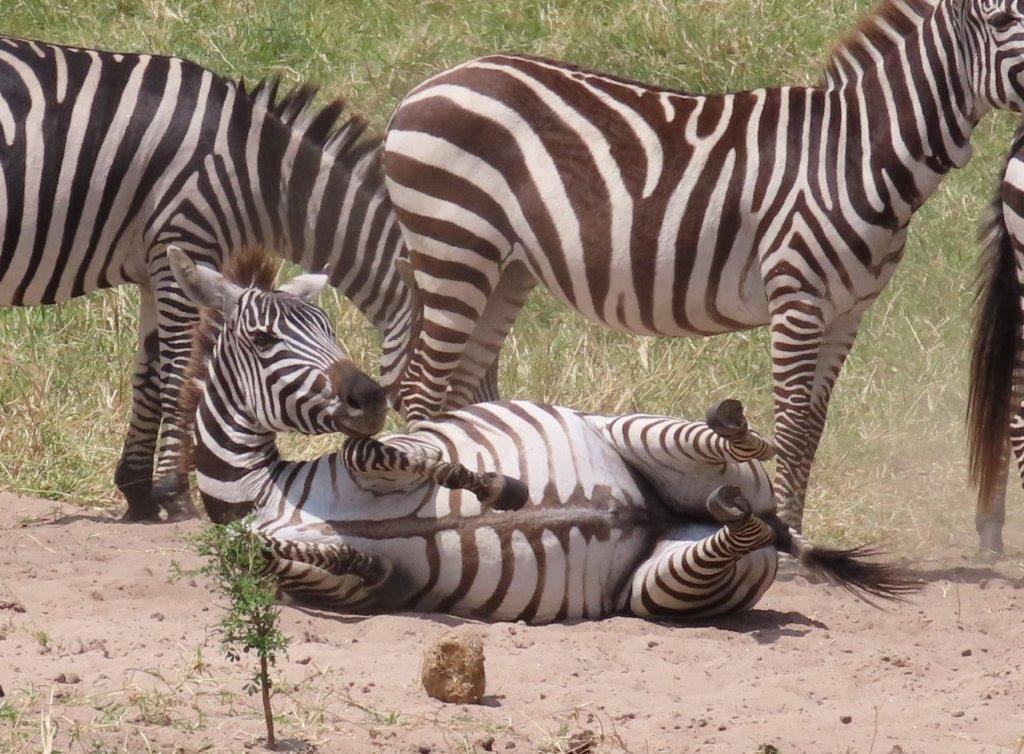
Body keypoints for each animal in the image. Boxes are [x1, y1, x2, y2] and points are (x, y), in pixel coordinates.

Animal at [0, 35, 410, 521]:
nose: (372, 405)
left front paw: (138, 492)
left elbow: (149, 374)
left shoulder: (155, 264)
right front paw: (174, 493)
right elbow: (178, 373)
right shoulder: (186, 237)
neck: (258, 171)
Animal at [169, 244, 915, 622]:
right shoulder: (333, 585)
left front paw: (491, 483)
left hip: (632, 428)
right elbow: (303, 556)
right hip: (661, 586)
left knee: (735, 449)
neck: (258, 492)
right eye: (264, 339)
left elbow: (389, 452)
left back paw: (734, 428)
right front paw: (358, 558)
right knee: (739, 526)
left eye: (326, 327)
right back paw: (731, 509)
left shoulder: (385, 452)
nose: (368, 395)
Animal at [380, 0, 1024, 536]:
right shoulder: (797, 295)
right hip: (454, 246)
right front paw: (786, 538)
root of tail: (424, 88)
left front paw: (799, 531)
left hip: (504, 268)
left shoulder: (847, 313)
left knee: (458, 389)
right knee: (423, 387)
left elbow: (814, 428)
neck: (854, 155)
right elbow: (791, 425)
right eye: (1000, 21)